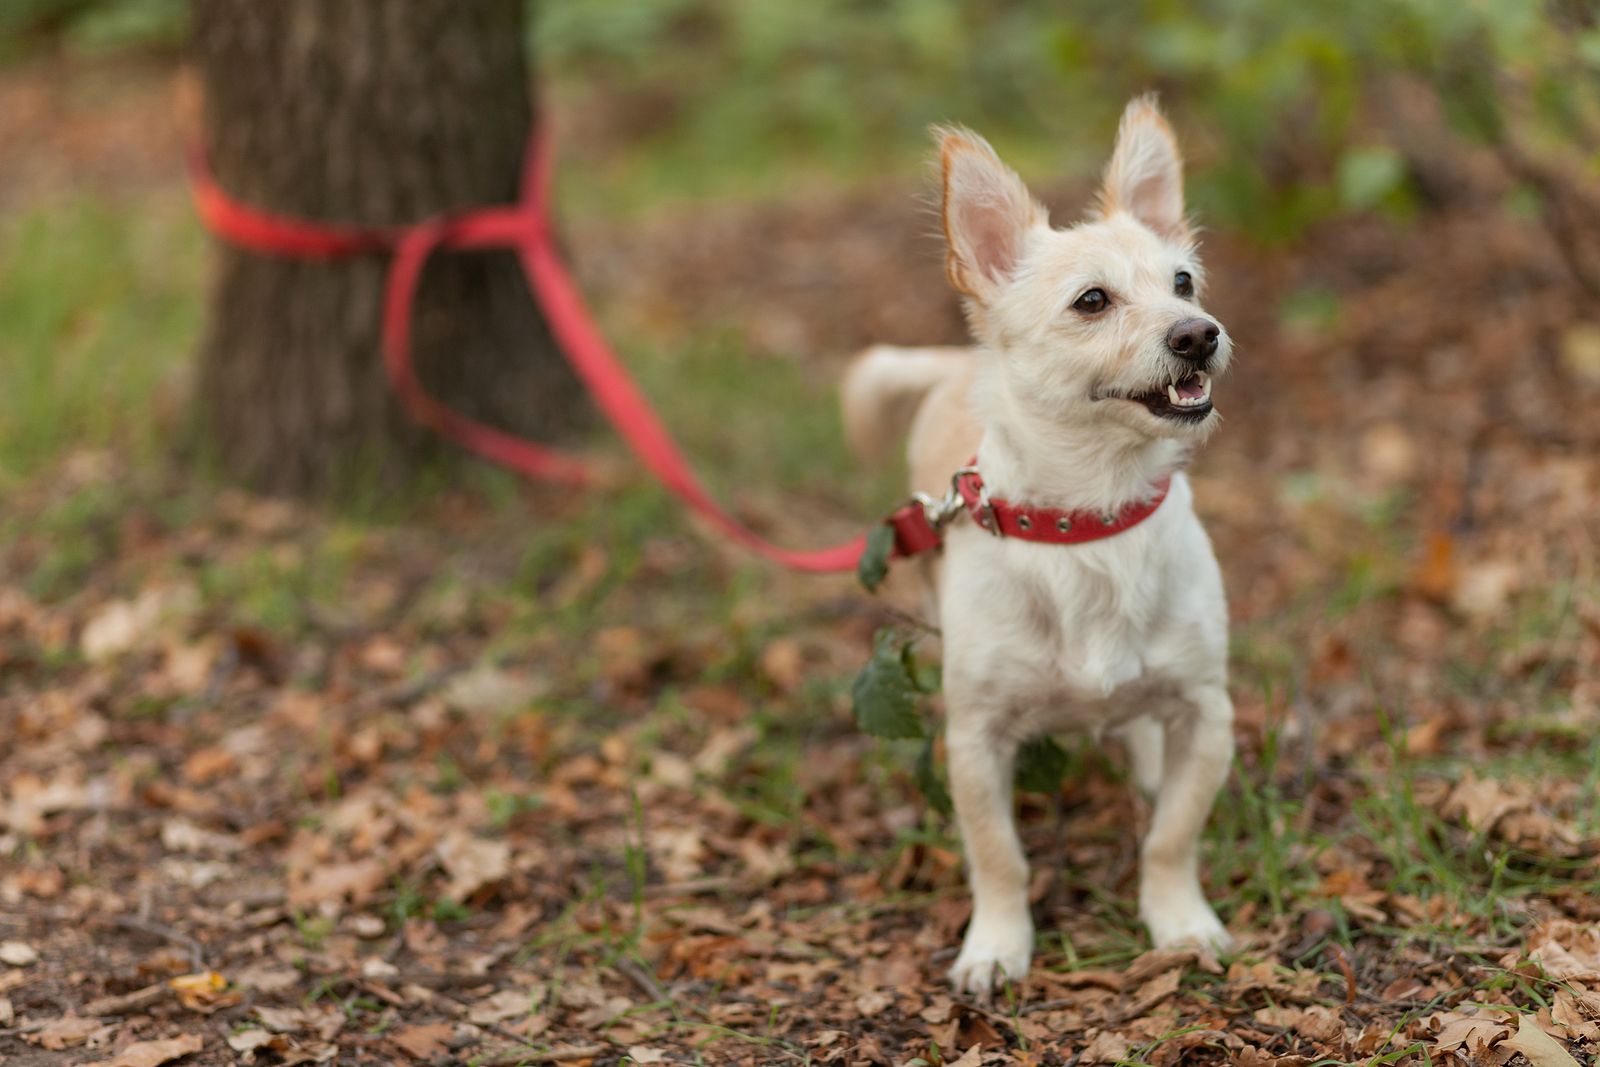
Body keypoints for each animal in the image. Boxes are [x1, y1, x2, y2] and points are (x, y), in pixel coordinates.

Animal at [838, 95, 1235, 998]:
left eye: (1184, 282)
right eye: (1092, 301)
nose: (1200, 333)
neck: (1093, 518)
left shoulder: (1208, 711)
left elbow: (1172, 835)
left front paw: (1180, 921)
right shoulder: (976, 742)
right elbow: (999, 856)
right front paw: (996, 944)